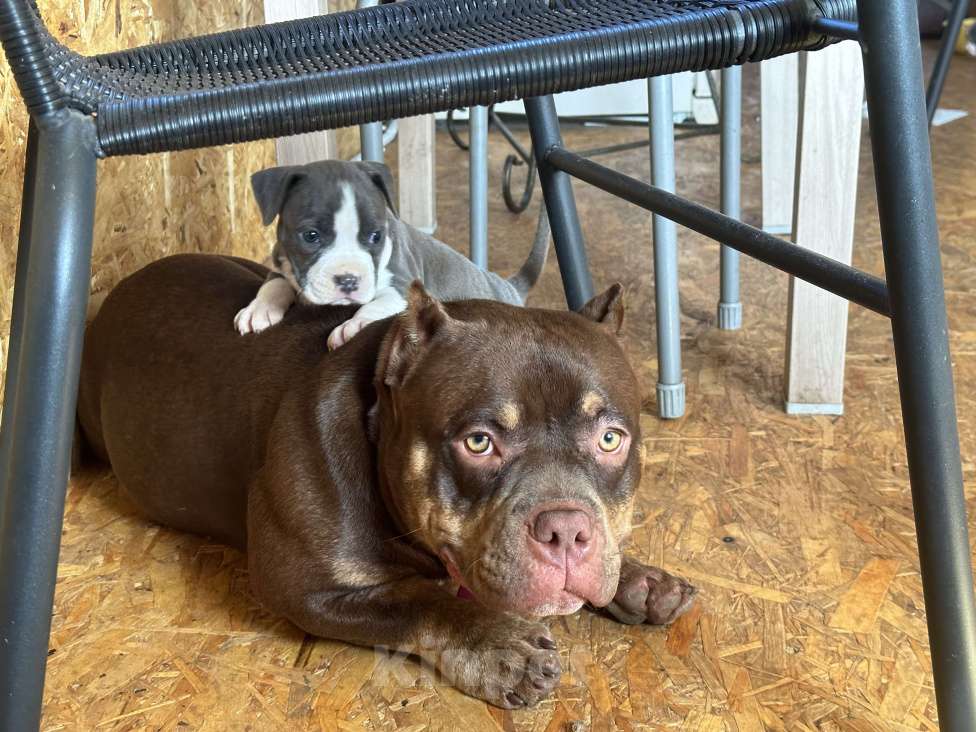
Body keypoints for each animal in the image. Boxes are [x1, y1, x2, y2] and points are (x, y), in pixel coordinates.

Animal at [80, 253, 696, 708]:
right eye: (478, 442)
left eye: (611, 439)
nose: (567, 530)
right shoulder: (305, 585)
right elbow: (420, 601)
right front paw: (499, 644)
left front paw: (638, 578)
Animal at [233, 159, 544, 346]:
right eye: (311, 236)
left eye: (376, 236)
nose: (348, 280)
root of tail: (509, 287)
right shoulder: (280, 261)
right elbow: (273, 284)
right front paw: (259, 309)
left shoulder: (403, 284)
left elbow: (377, 304)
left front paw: (354, 325)